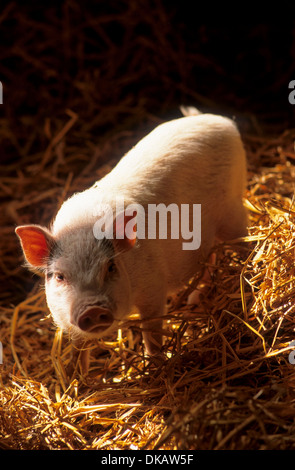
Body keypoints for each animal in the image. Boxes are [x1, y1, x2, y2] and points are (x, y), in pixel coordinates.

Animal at [15, 110, 247, 370]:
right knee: (211, 257)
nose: (92, 308)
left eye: (110, 267)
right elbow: (78, 348)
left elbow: (151, 332)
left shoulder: (153, 288)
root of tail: (219, 120)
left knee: (245, 240)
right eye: (59, 276)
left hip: (232, 210)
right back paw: (195, 300)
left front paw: (156, 364)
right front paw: (77, 376)